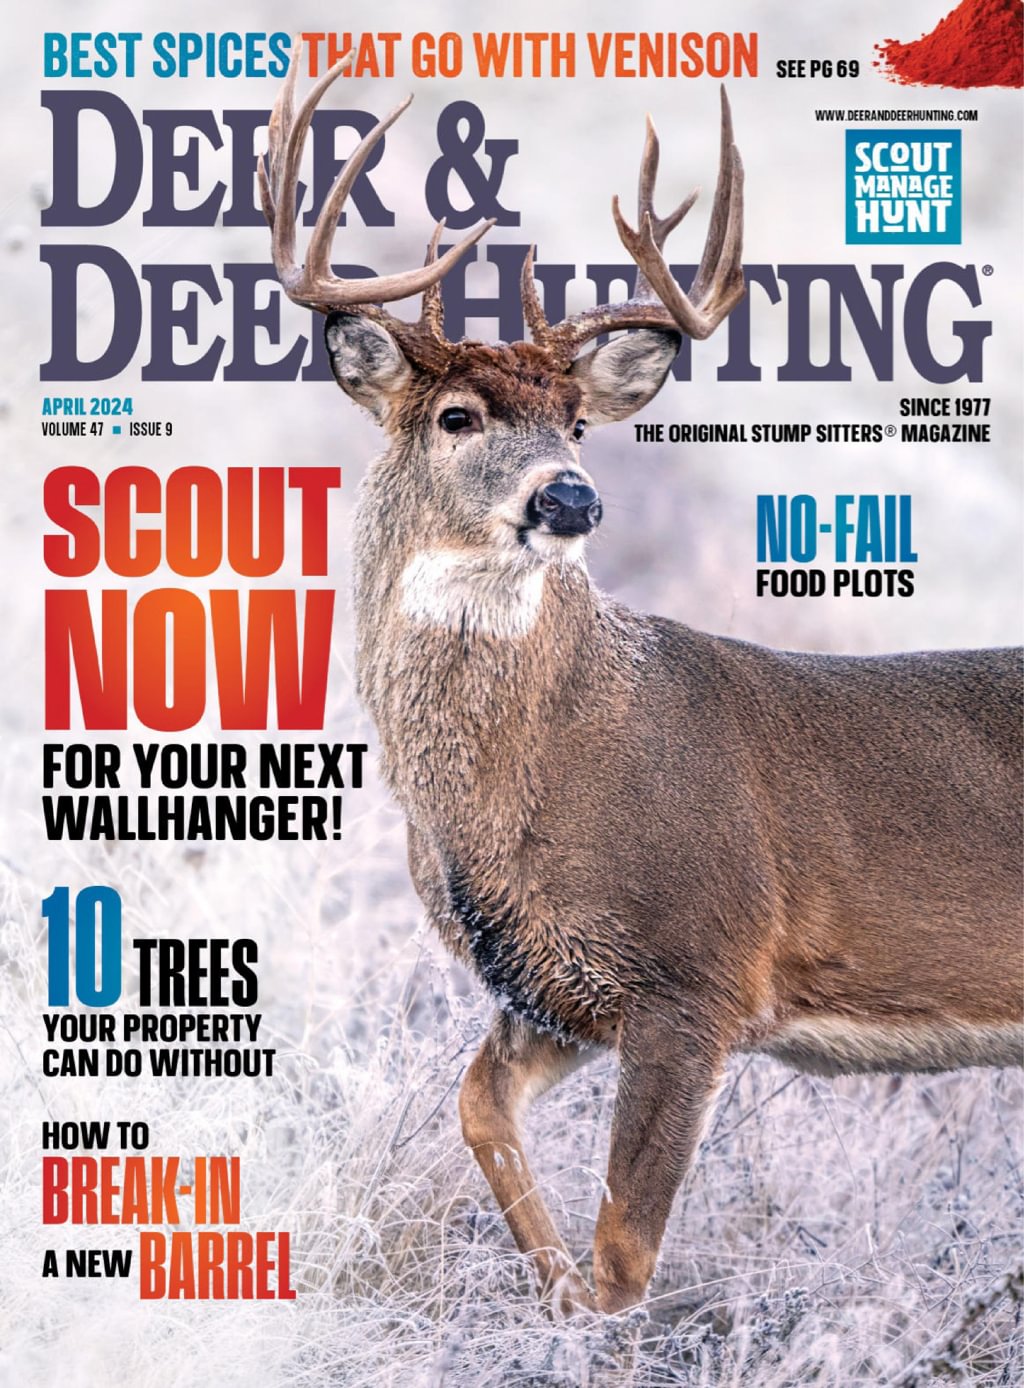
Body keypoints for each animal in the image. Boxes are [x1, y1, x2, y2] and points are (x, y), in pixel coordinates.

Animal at [261, 43, 1024, 1317]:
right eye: (457, 413)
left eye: (575, 422)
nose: (570, 496)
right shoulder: (556, 987)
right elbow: (481, 1112)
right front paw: (549, 1308)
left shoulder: (695, 970)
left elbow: (625, 1259)